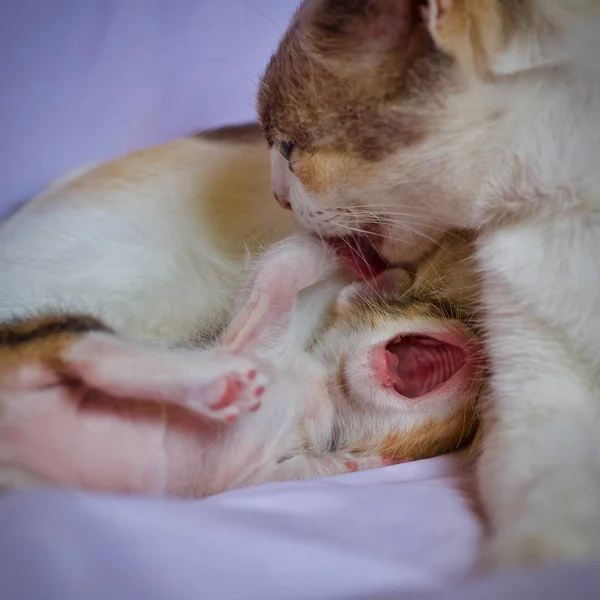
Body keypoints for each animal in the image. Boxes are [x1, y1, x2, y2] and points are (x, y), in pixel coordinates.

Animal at [0, 232, 480, 494]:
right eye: (433, 309)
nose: (478, 344)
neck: (324, 390)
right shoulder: (246, 342)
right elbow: (280, 273)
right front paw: (345, 252)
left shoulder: (248, 478)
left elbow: (318, 468)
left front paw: (355, 464)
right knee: (85, 348)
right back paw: (213, 379)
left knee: (83, 354)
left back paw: (215, 386)